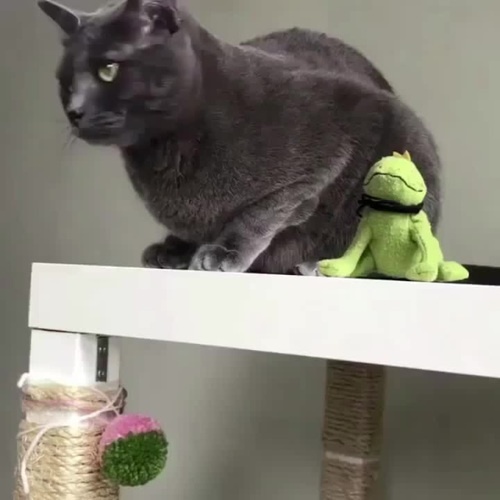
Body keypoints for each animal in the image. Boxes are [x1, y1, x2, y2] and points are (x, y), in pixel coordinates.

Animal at [38, 0, 441, 275]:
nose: (74, 111)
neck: (165, 150)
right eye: (65, 81)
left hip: (406, 139)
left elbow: (270, 208)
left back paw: (316, 264)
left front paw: (223, 252)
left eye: (108, 69)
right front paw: (179, 249)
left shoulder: (336, 136)